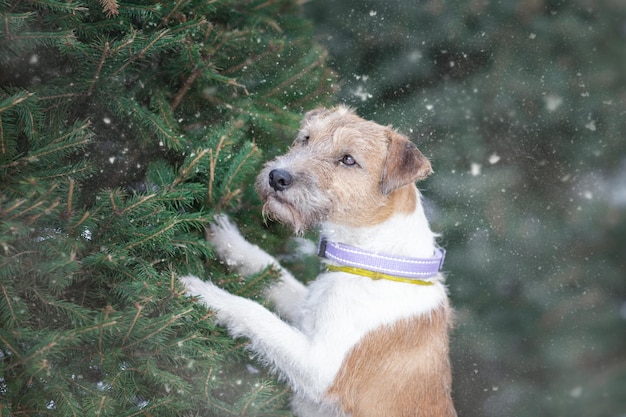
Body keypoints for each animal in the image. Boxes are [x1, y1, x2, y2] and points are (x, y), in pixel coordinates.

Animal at [180, 105, 454, 414]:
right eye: (306, 138)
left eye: (348, 159)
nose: (277, 176)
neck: (375, 259)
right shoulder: (306, 310)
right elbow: (275, 271)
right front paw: (230, 241)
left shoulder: (319, 367)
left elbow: (254, 313)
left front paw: (203, 293)